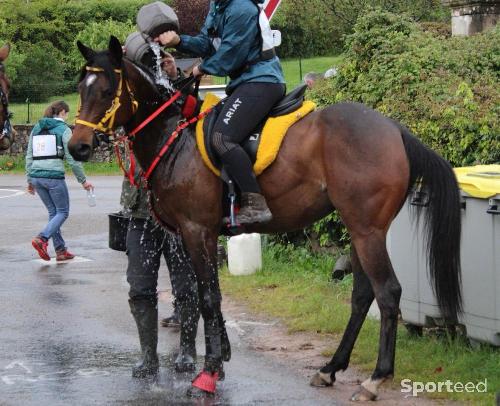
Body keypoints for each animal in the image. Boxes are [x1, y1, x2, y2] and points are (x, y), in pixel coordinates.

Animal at [68, 38, 462, 400]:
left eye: (106, 91)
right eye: (80, 87)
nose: (77, 147)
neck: (173, 135)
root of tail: (395, 129)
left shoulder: (197, 231)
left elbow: (207, 298)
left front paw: (207, 374)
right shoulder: (190, 235)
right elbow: (206, 294)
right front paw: (220, 359)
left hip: (368, 231)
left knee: (388, 292)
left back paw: (375, 378)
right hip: (360, 230)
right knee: (363, 295)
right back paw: (331, 368)